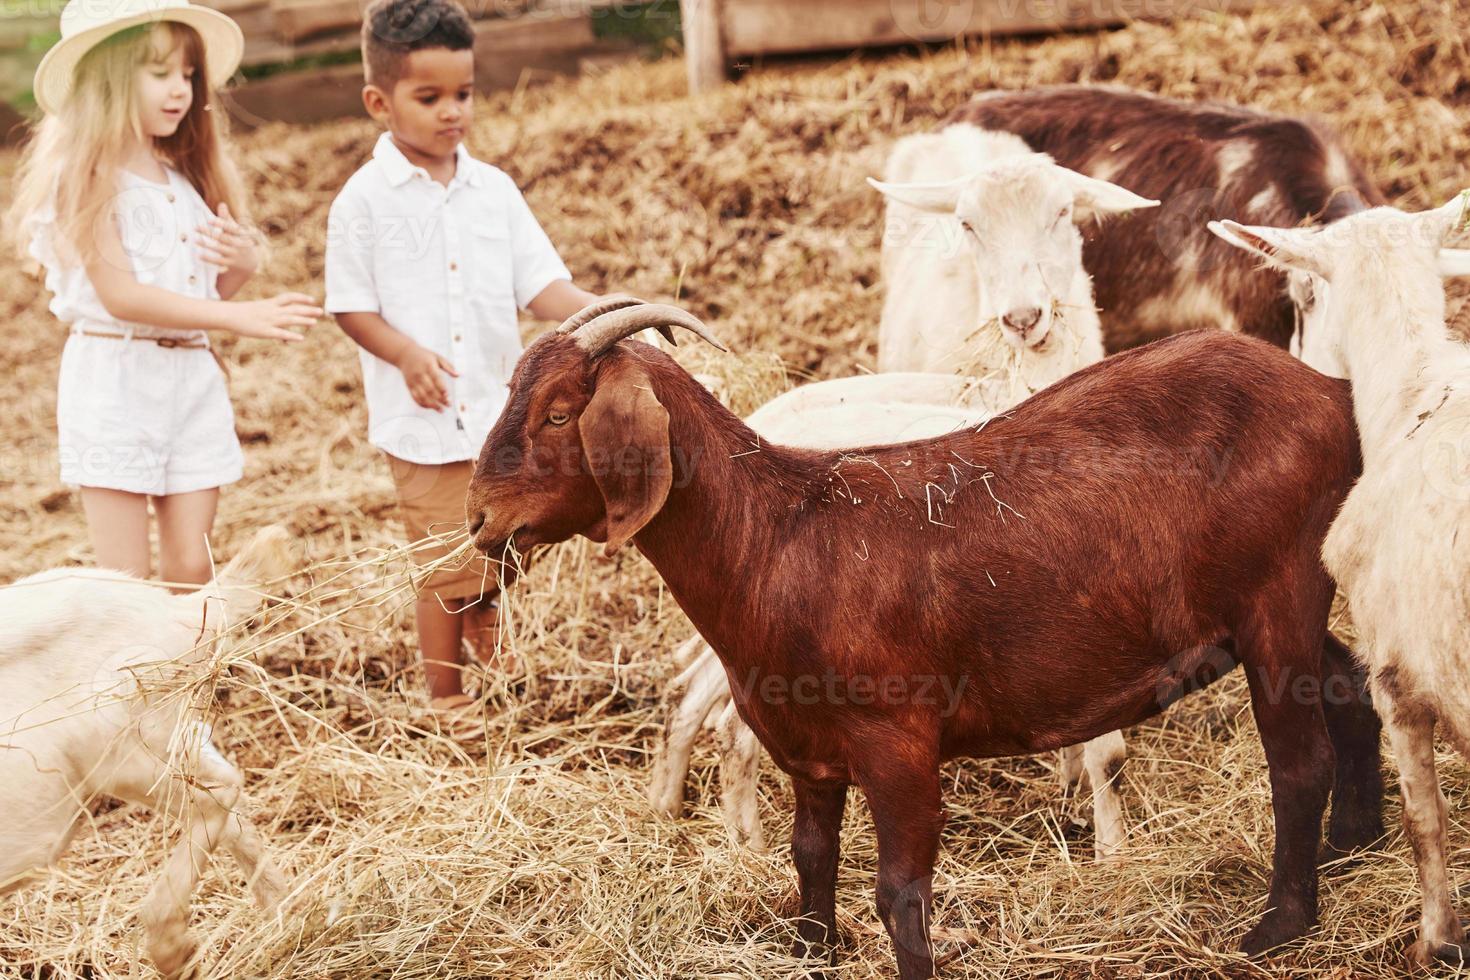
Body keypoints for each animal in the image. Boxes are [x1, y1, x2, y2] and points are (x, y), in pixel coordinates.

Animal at [0, 528, 292, 980]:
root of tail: (175, 608)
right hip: (172, 736)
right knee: (229, 804)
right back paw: (291, 917)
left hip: (118, 745)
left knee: (216, 793)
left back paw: (174, 950)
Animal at [470, 301, 1387, 980]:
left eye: (558, 411)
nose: (480, 519)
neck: (779, 536)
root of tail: (1332, 393)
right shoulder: (809, 749)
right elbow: (810, 855)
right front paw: (812, 951)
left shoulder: (898, 743)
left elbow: (900, 894)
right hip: (1270, 608)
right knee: (1352, 691)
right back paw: (1355, 847)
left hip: (1277, 596)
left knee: (1298, 761)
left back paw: (1279, 925)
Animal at [649, 138, 1152, 858]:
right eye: (968, 225)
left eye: (1063, 213)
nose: (1023, 317)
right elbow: (1106, 750)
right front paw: (1114, 852)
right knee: (730, 723)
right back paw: (747, 844)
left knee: (693, 691)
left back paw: (668, 807)